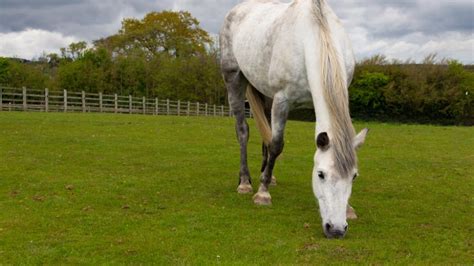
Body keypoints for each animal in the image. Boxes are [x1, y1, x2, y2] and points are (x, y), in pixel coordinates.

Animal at [220, 0, 368, 238]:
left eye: (353, 176)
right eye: (321, 174)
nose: (336, 229)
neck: (313, 35)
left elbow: (272, 141)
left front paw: (349, 209)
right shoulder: (283, 100)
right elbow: (277, 144)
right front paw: (262, 194)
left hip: (266, 94)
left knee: (266, 133)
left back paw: (268, 176)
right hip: (234, 78)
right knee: (243, 131)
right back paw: (245, 182)